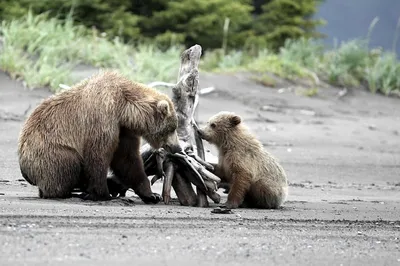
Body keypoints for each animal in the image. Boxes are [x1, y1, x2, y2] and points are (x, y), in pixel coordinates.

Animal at [18, 69, 180, 203]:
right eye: (172, 128)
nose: (177, 147)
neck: (125, 109)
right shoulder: (103, 117)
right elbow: (98, 156)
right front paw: (101, 194)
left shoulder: (123, 129)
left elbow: (127, 160)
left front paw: (151, 194)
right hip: (48, 151)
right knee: (66, 166)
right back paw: (72, 191)